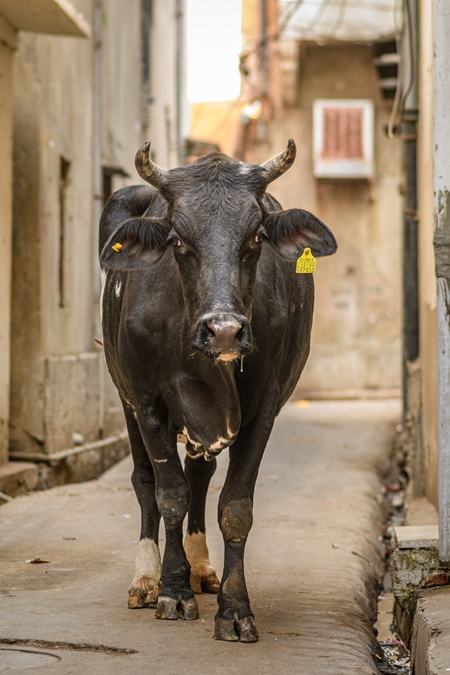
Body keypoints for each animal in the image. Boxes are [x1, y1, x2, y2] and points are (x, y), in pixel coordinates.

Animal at [99, 139, 338, 644]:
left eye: (256, 238)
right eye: (178, 240)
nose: (225, 330)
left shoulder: (264, 407)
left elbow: (234, 506)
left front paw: (233, 608)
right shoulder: (148, 400)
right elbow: (169, 494)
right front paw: (172, 591)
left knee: (201, 476)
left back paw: (200, 567)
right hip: (124, 393)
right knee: (145, 482)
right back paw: (146, 578)